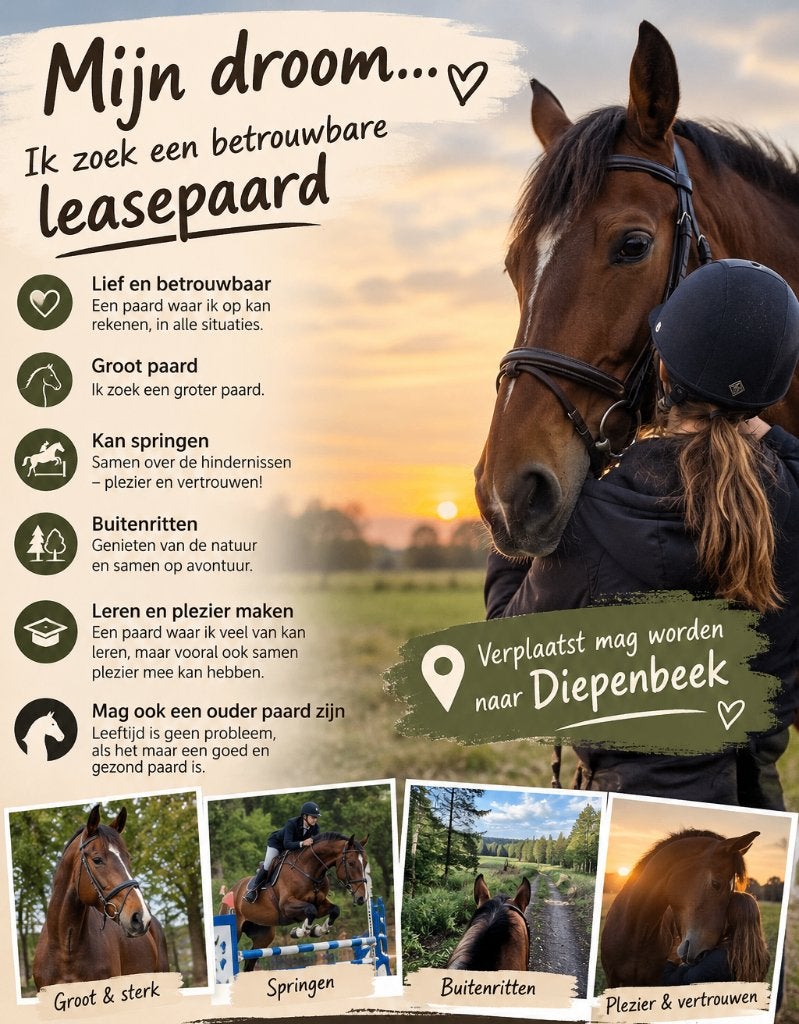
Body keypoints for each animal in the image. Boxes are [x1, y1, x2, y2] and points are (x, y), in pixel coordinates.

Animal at [229, 833, 370, 972]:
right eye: (351, 863)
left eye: (365, 863)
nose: (362, 898)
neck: (309, 871)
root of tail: (233, 890)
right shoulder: (286, 906)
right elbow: (310, 910)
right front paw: (299, 932)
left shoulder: (320, 904)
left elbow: (334, 910)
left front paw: (318, 930)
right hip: (237, 929)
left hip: (263, 936)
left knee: (250, 961)